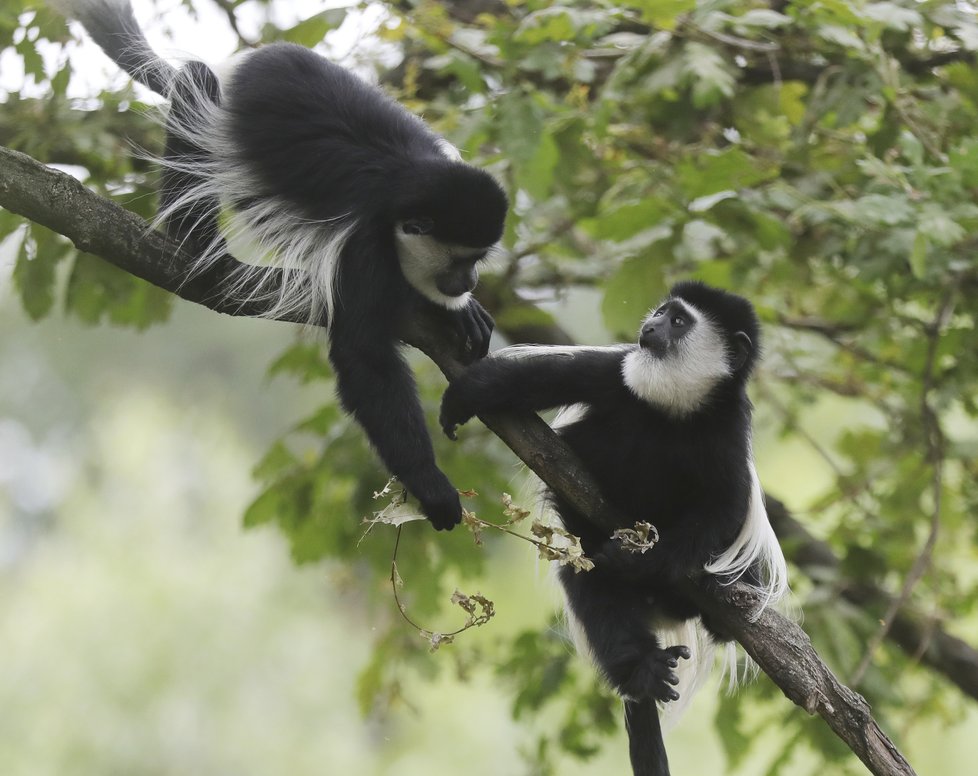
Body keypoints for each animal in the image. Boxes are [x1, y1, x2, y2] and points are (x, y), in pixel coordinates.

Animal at [440, 284, 784, 776]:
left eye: (679, 321)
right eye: (662, 311)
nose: (651, 325)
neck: (674, 403)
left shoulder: (728, 431)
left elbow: (722, 514)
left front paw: (639, 559)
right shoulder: (618, 371)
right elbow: (533, 379)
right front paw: (464, 397)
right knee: (594, 590)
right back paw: (642, 669)